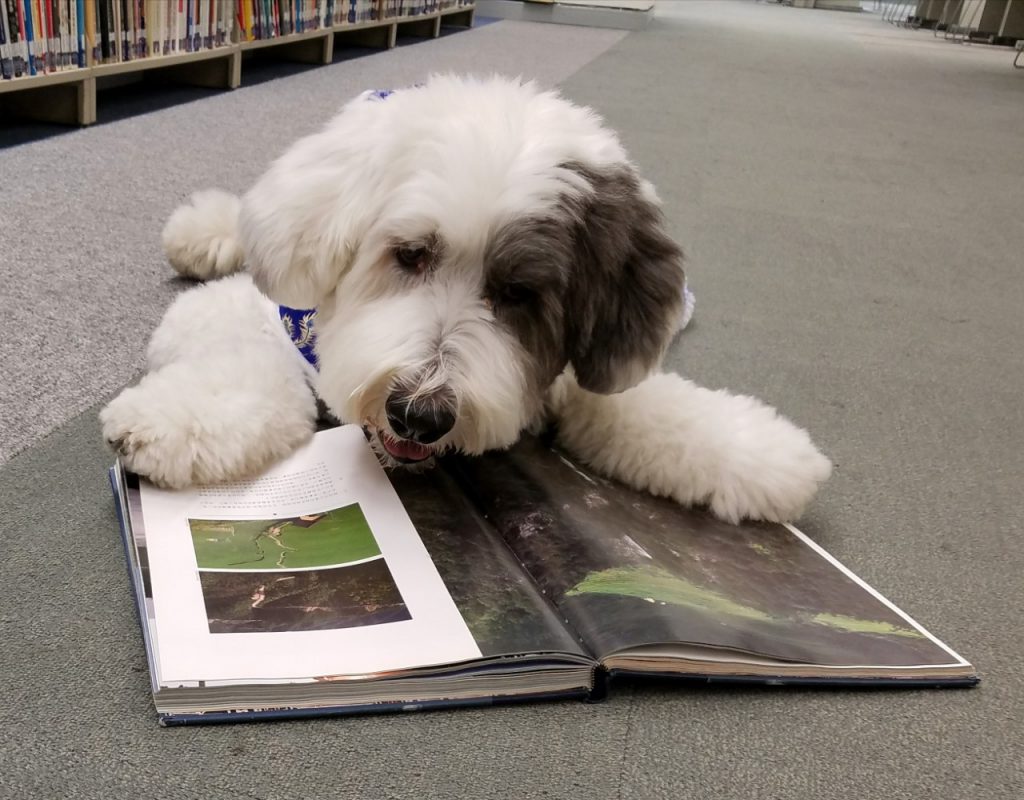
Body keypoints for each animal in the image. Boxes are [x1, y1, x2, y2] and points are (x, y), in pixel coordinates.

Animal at [99, 73, 831, 524]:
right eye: (410, 254)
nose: (419, 414)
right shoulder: (238, 315)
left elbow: (643, 407)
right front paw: (161, 421)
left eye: (518, 291)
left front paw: (762, 455)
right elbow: (252, 367)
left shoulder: (567, 370)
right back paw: (204, 230)